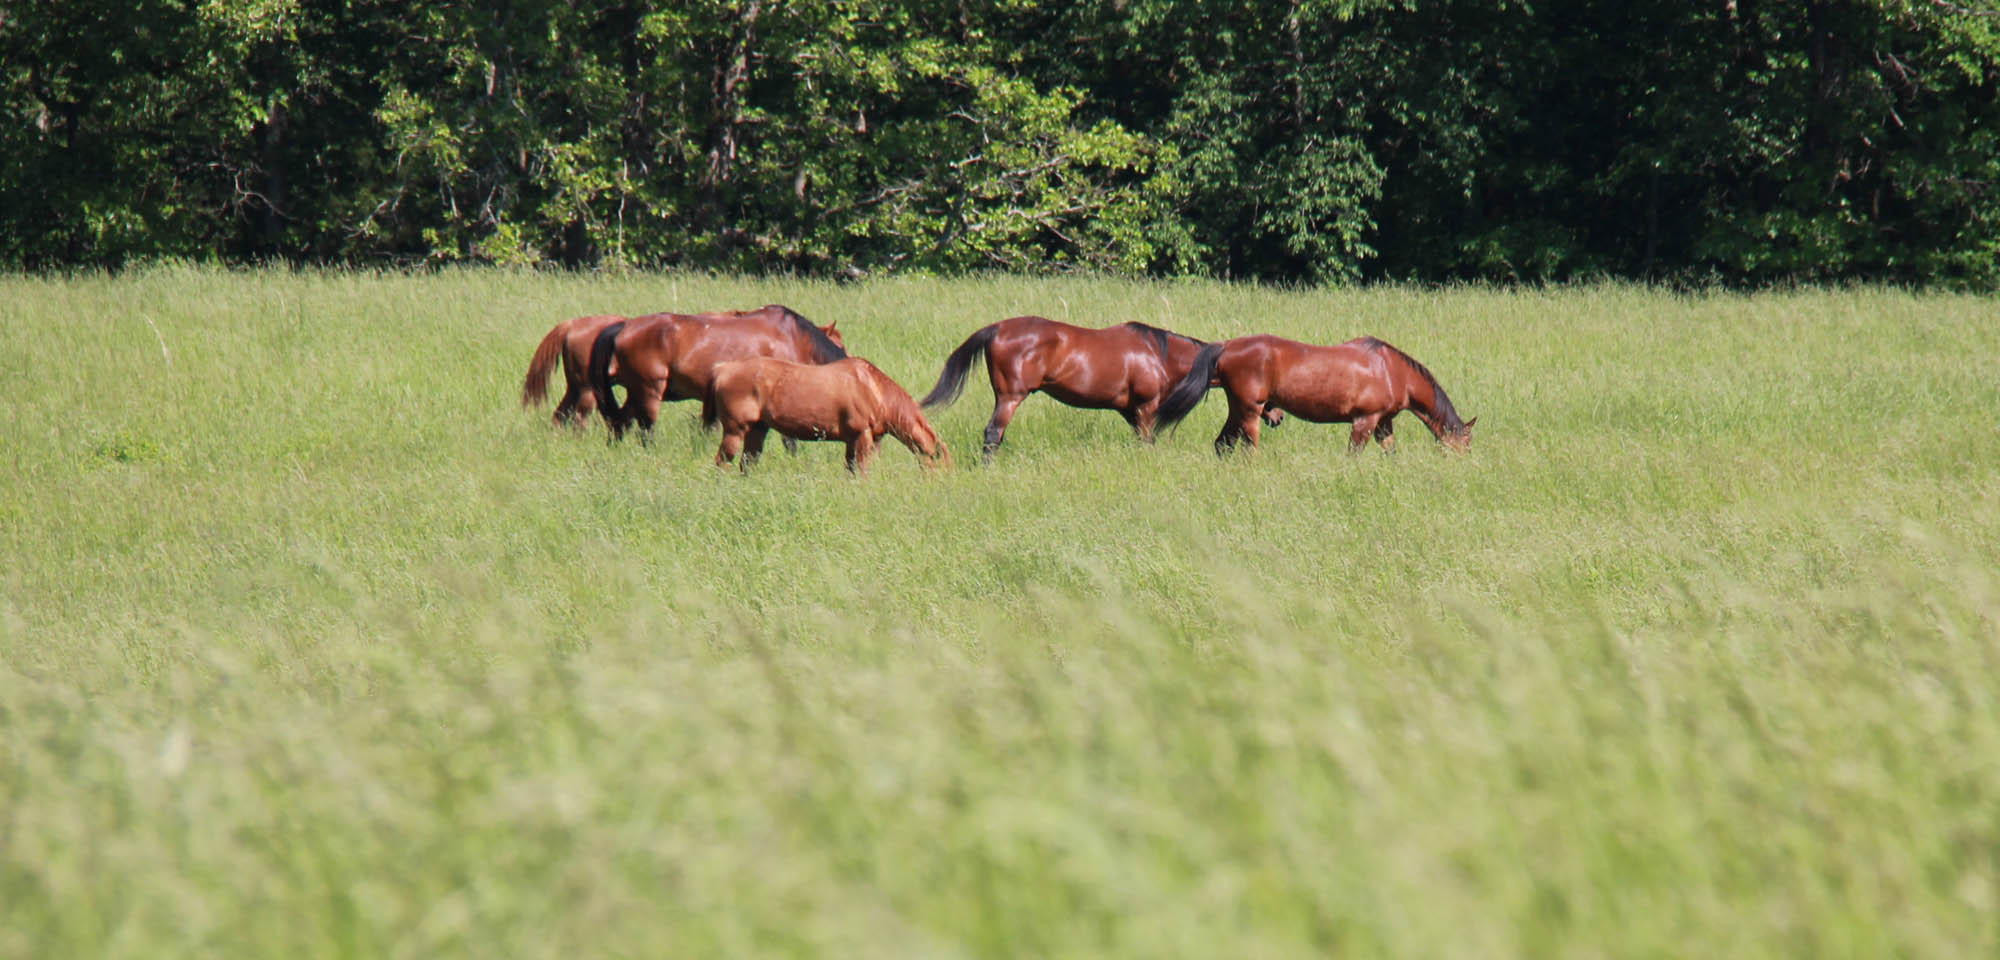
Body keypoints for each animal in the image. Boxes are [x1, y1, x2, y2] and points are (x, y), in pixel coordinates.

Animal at [588, 305, 847, 444]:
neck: (794, 338)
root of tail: (624, 327)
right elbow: (789, 440)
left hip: (636, 394)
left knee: (619, 423)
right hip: (649, 392)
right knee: (645, 430)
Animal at [701, 357, 950, 474]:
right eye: (942, 465)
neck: (873, 388)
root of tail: (722, 369)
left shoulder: (853, 441)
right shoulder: (862, 437)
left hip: (757, 430)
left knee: (747, 463)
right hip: (735, 431)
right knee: (722, 462)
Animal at [918, 315, 1281, 459]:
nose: (1277, 416)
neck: (1159, 354)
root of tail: (997, 329)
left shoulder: (1131, 412)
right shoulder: (1146, 407)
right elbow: (1148, 442)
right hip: (1010, 397)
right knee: (993, 434)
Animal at [1154, 335, 1475, 456]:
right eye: (1467, 443)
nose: (1466, 465)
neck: (1392, 371)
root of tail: (1226, 347)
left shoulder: (1383, 423)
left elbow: (1390, 453)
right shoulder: (1364, 420)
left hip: (1238, 409)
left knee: (1222, 444)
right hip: (1250, 411)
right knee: (1248, 448)